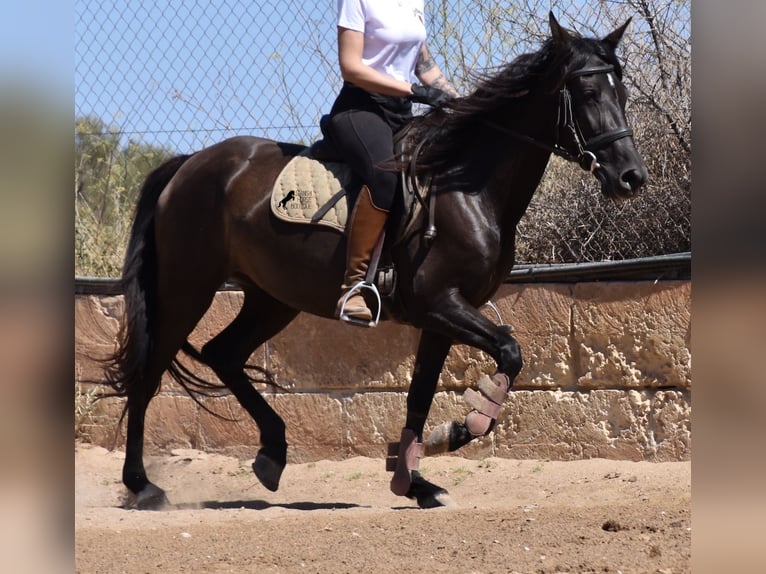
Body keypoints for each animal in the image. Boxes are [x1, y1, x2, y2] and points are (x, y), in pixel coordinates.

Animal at [105, 12, 648, 508]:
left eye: (620, 93)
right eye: (587, 94)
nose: (631, 178)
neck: (467, 186)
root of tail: (188, 165)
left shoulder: (441, 316)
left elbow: (420, 394)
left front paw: (414, 480)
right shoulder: (439, 303)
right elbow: (510, 352)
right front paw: (459, 429)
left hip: (272, 297)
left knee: (223, 353)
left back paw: (271, 455)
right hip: (187, 287)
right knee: (149, 373)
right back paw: (143, 486)